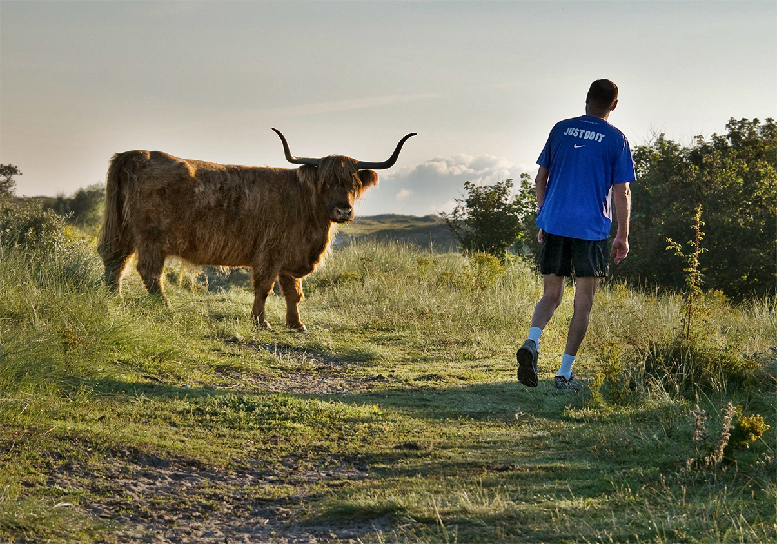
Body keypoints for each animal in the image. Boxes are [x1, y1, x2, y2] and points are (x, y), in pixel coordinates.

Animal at [97, 129, 416, 332]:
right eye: (325, 182)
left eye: (354, 184)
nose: (342, 211)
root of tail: (136, 154)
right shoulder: (270, 252)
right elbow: (264, 287)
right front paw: (261, 321)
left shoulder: (291, 255)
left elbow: (293, 293)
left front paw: (297, 324)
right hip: (150, 237)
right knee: (149, 272)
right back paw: (164, 306)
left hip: (122, 230)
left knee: (115, 261)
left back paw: (114, 300)